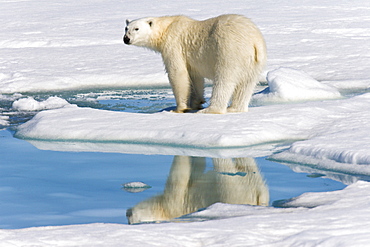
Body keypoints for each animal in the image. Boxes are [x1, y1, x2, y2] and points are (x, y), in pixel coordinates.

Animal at [124, 14, 266, 113]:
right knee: (247, 83)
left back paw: (211, 110)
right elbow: (194, 77)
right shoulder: (190, 58)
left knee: (224, 79)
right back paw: (234, 108)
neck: (167, 28)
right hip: (255, 61)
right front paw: (196, 103)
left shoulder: (173, 44)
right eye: (126, 28)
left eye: (136, 29)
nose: (126, 38)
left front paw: (179, 108)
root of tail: (254, 41)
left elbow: (178, 74)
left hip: (229, 49)